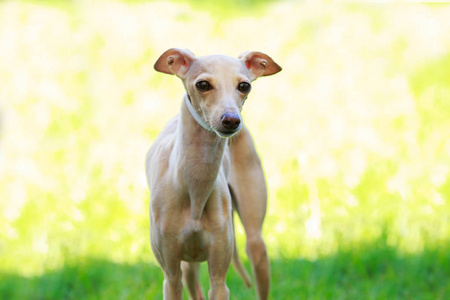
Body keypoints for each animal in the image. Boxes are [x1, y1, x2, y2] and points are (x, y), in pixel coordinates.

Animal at [146, 48, 282, 298]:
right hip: (187, 268)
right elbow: (172, 279)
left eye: (244, 86)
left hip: (255, 243)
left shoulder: (219, 279)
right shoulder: (170, 277)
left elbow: (218, 282)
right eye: (203, 84)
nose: (231, 121)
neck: (194, 188)